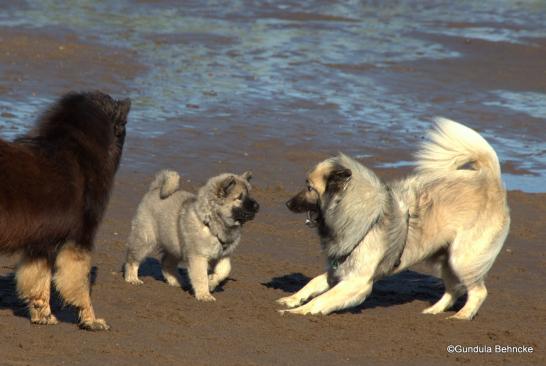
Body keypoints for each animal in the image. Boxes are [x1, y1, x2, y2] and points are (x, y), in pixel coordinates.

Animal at [0, 91, 130, 328]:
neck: (75, 143)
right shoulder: (80, 238)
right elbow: (80, 284)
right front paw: (91, 320)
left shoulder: (42, 242)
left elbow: (38, 280)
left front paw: (43, 315)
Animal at [124, 170, 260, 302]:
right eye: (239, 198)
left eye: (249, 195)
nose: (257, 205)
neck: (211, 222)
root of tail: (155, 189)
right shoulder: (198, 256)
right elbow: (201, 277)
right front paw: (204, 294)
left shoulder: (223, 255)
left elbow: (224, 270)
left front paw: (212, 282)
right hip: (145, 239)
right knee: (133, 259)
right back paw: (132, 278)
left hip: (175, 247)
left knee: (166, 264)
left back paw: (176, 281)